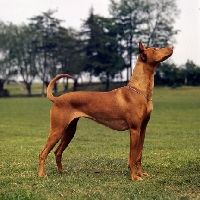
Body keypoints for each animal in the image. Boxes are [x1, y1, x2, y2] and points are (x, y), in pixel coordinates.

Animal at [38, 42, 173, 180]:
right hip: (57, 130)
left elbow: (138, 156)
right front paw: (134, 177)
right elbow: (132, 156)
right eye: (155, 49)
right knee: (42, 153)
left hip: (69, 132)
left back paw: (61, 170)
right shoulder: (134, 130)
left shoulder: (143, 129)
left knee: (57, 152)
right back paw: (41, 174)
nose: (171, 47)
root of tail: (57, 99)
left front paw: (141, 174)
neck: (140, 91)